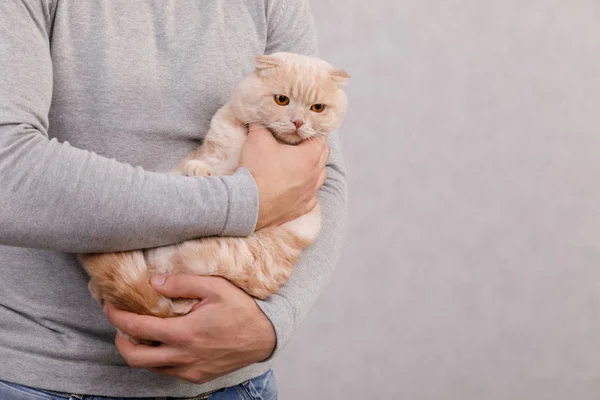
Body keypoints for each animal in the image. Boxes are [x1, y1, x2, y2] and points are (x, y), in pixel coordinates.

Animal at [82, 52, 350, 316]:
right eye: (282, 100)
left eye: (317, 108)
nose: (298, 122)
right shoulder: (216, 145)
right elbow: (216, 160)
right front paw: (201, 168)